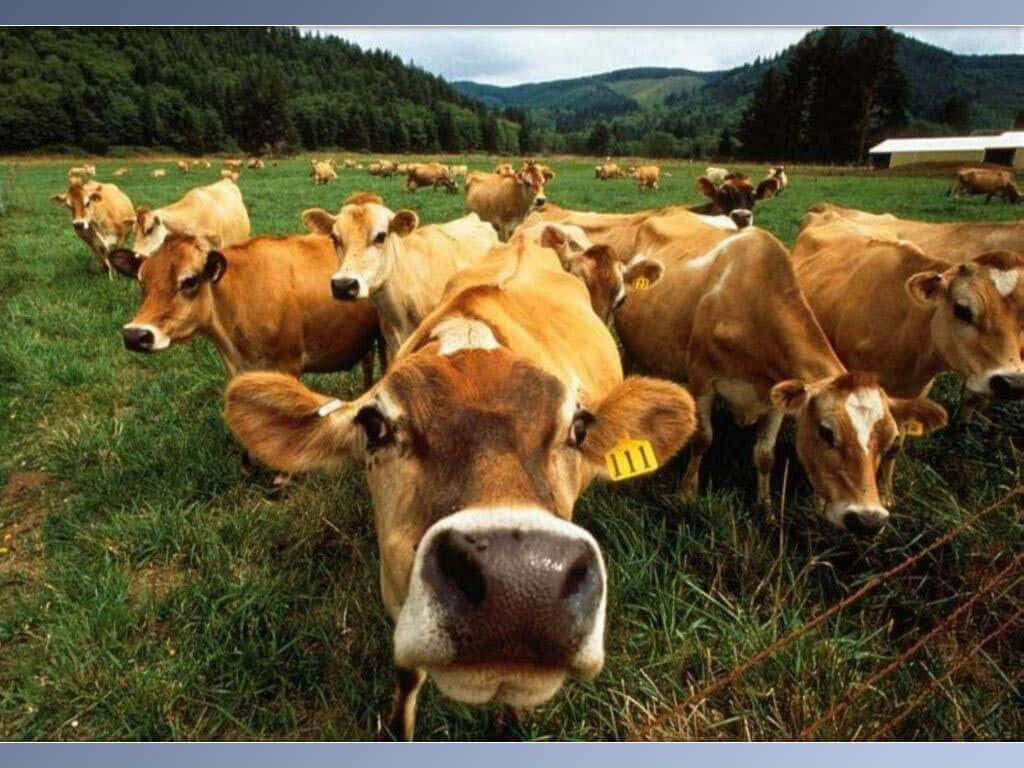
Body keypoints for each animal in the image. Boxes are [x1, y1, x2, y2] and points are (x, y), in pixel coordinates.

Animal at [615, 224, 947, 533]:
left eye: (889, 438)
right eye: (826, 432)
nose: (868, 520)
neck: (748, 306)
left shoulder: (775, 394)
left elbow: (765, 455)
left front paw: (766, 508)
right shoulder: (702, 381)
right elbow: (702, 439)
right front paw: (686, 493)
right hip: (631, 351)